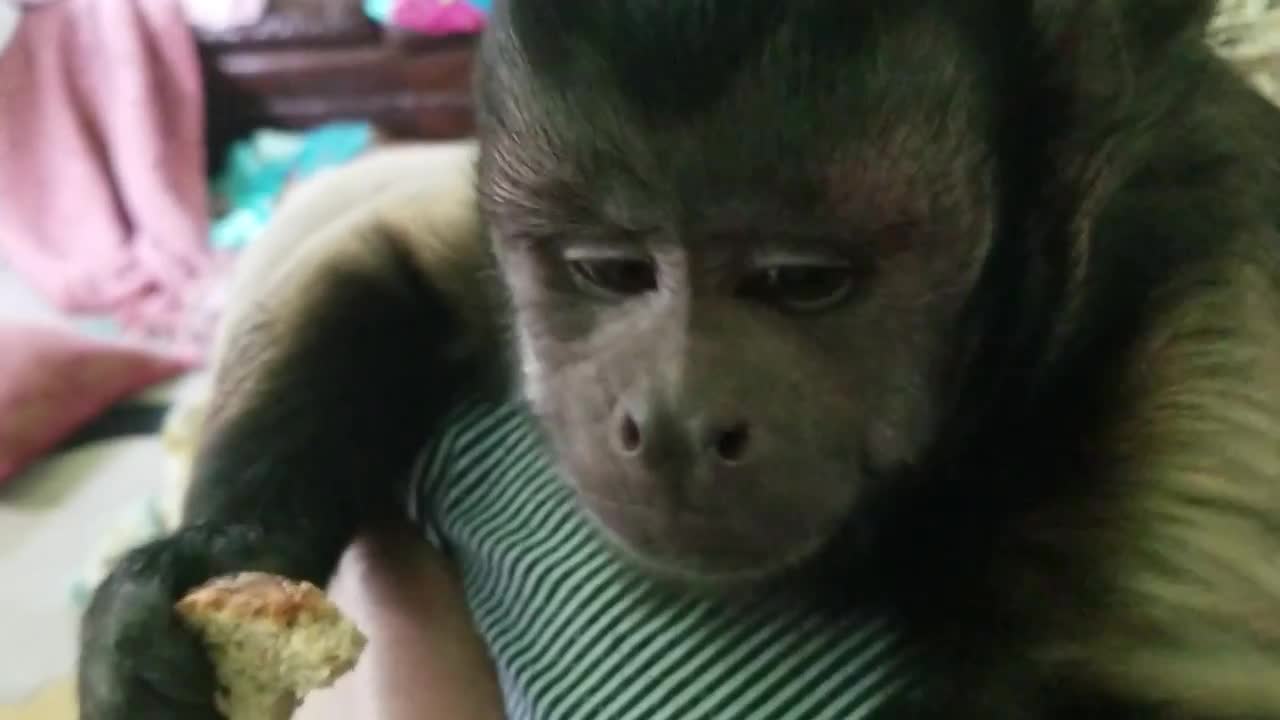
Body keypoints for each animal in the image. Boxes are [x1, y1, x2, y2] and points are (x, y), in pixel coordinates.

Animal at [74, 0, 1280, 712]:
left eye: (802, 281)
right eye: (610, 269)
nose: (673, 423)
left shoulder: (1199, 379)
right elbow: (383, 262)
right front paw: (186, 579)